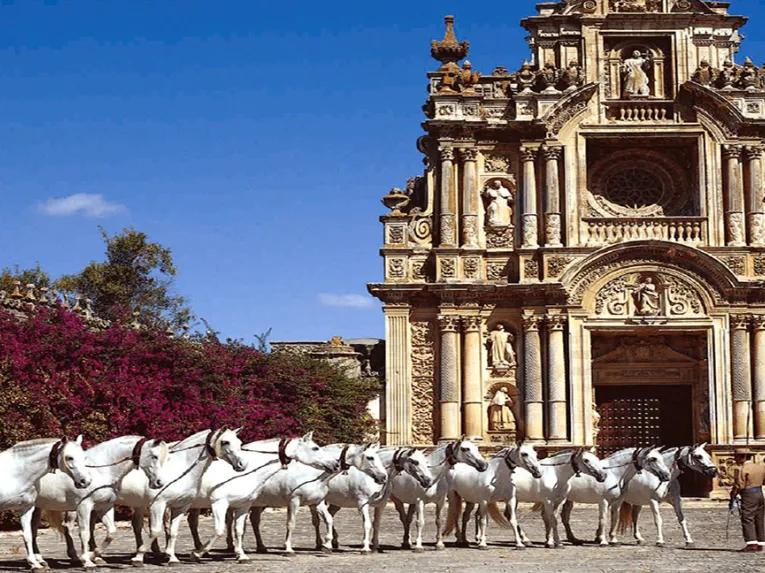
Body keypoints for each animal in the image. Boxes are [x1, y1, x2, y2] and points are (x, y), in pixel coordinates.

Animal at [0, 436, 92, 570]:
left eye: (84, 457)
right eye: (69, 457)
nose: (86, 481)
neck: (14, 473)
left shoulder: (26, 508)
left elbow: (28, 535)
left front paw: (34, 564)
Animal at [33, 436, 167, 568]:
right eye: (154, 456)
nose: (159, 483)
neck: (101, 472)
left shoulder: (104, 506)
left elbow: (111, 532)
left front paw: (94, 556)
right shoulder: (84, 506)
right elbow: (85, 533)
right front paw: (87, 560)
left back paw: (43, 560)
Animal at [117, 428, 246, 565]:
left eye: (239, 442)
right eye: (225, 442)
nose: (242, 464)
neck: (180, 470)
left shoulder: (180, 506)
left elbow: (173, 531)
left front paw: (172, 558)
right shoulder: (159, 504)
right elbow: (156, 530)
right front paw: (138, 557)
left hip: (139, 505)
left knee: (137, 524)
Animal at [246, 442, 385, 555]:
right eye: (370, 457)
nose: (383, 477)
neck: (312, 475)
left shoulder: (317, 502)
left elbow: (328, 519)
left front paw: (326, 545)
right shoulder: (293, 501)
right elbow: (291, 523)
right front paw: (288, 549)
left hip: (260, 503)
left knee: (254, 520)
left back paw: (260, 547)